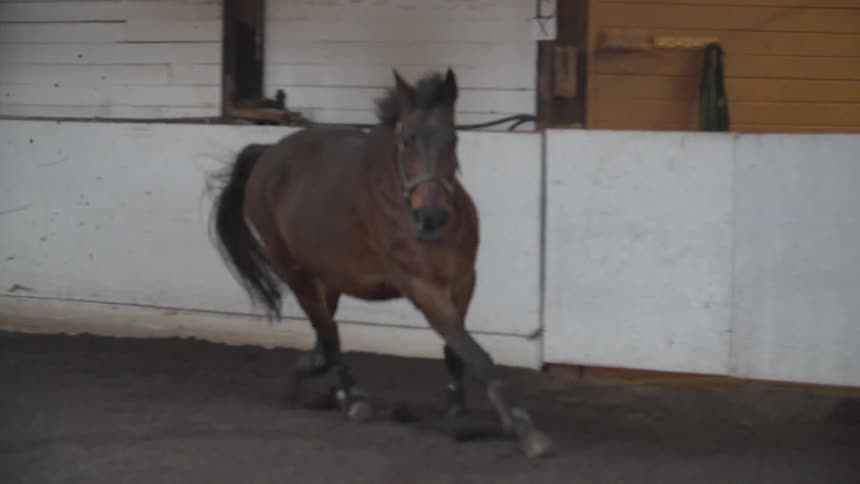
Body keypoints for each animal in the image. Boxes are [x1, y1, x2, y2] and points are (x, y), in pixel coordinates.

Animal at [209, 68, 552, 458]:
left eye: (452, 139)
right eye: (406, 141)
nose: (431, 217)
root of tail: (267, 154)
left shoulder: (464, 281)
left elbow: (457, 350)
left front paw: (457, 412)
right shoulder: (423, 287)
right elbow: (475, 353)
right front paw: (523, 428)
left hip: (328, 276)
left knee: (324, 334)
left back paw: (320, 378)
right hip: (295, 271)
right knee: (329, 335)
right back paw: (351, 396)